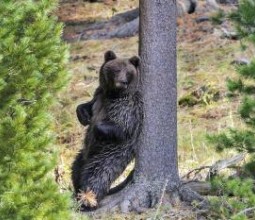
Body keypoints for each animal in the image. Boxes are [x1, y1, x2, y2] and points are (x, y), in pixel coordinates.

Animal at [71, 50, 143, 211]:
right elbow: (87, 106)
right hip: (83, 156)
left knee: (96, 175)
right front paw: (84, 116)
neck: (113, 93)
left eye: (128, 72)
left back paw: (88, 201)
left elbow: (122, 127)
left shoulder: (126, 107)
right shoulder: (99, 95)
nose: (122, 82)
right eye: (116, 69)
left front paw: (95, 128)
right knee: (76, 170)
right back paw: (78, 193)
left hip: (108, 156)